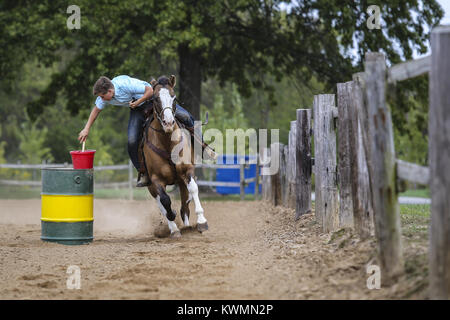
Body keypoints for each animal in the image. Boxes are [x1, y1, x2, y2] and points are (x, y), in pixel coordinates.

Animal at [142, 75, 209, 239]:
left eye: (174, 97)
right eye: (155, 99)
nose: (168, 123)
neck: (167, 143)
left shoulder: (187, 170)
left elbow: (193, 189)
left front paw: (202, 221)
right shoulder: (156, 179)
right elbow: (165, 200)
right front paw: (172, 222)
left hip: (181, 180)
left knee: (185, 205)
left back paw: (186, 226)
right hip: (151, 185)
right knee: (161, 202)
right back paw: (174, 227)